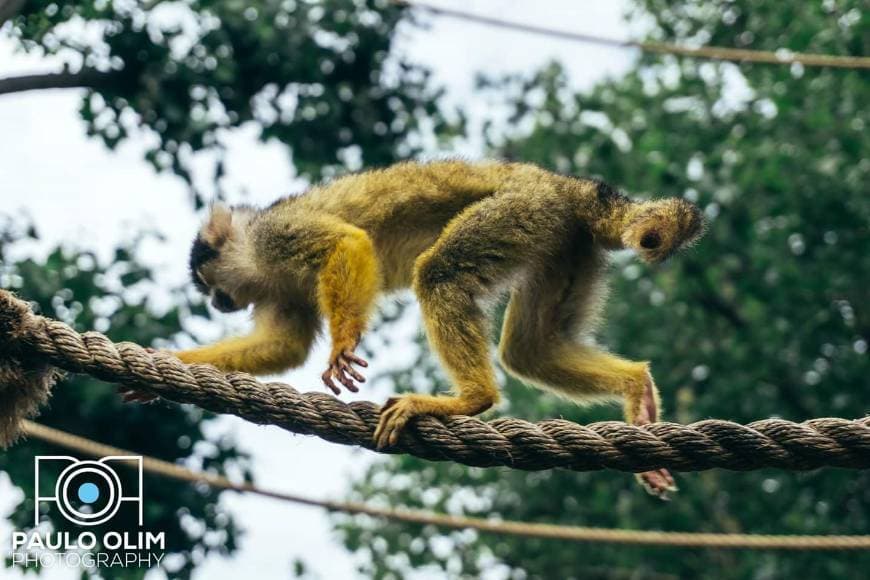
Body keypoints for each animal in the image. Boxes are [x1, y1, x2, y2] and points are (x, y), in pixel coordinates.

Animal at [165, 161, 700, 496]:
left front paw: (342, 345)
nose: (216, 301)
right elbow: (286, 344)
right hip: (565, 241)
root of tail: (568, 186)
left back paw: (471, 398)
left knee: (440, 274)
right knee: (529, 349)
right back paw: (634, 385)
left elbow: (347, 243)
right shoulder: (277, 287)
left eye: (209, 284)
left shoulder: (271, 238)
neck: (252, 252)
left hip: (522, 210)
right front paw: (171, 364)